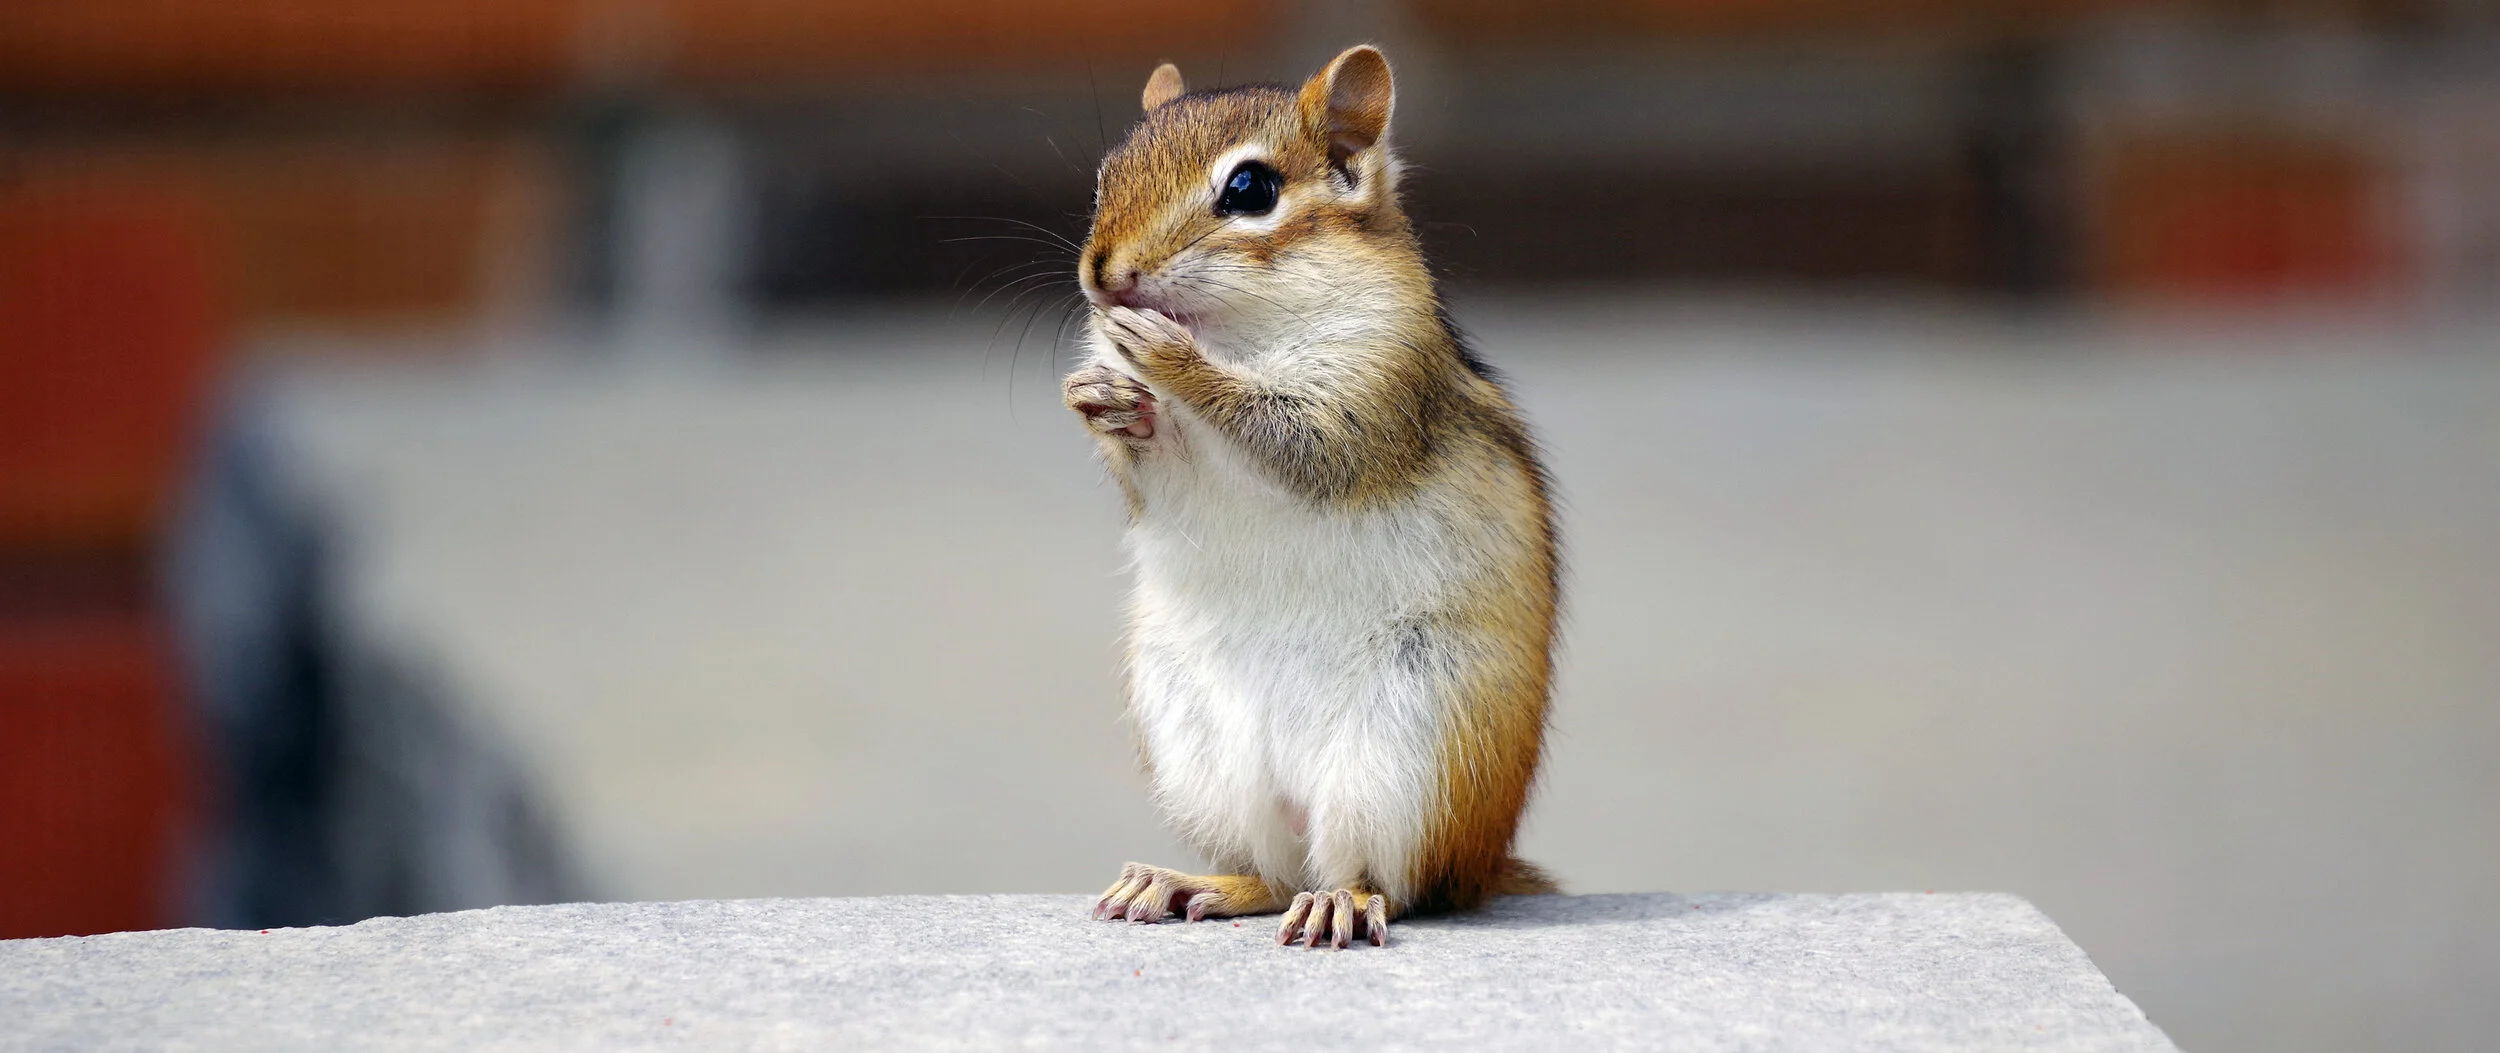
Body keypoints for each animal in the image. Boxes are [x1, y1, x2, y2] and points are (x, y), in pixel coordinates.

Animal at [1062, 45, 1560, 949]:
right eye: (1104, 177)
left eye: (1250, 189)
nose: (1103, 278)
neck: (1240, 329)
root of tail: (1481, 862)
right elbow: (1155, 464)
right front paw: (1101, 397)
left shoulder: (1373, 385)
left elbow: (1296, 440)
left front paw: (1170, 359)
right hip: (1199, 751)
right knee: (1270, 873)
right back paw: (1186, 881)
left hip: (1412, 751)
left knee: (1387, 880)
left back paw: (1344, 900)